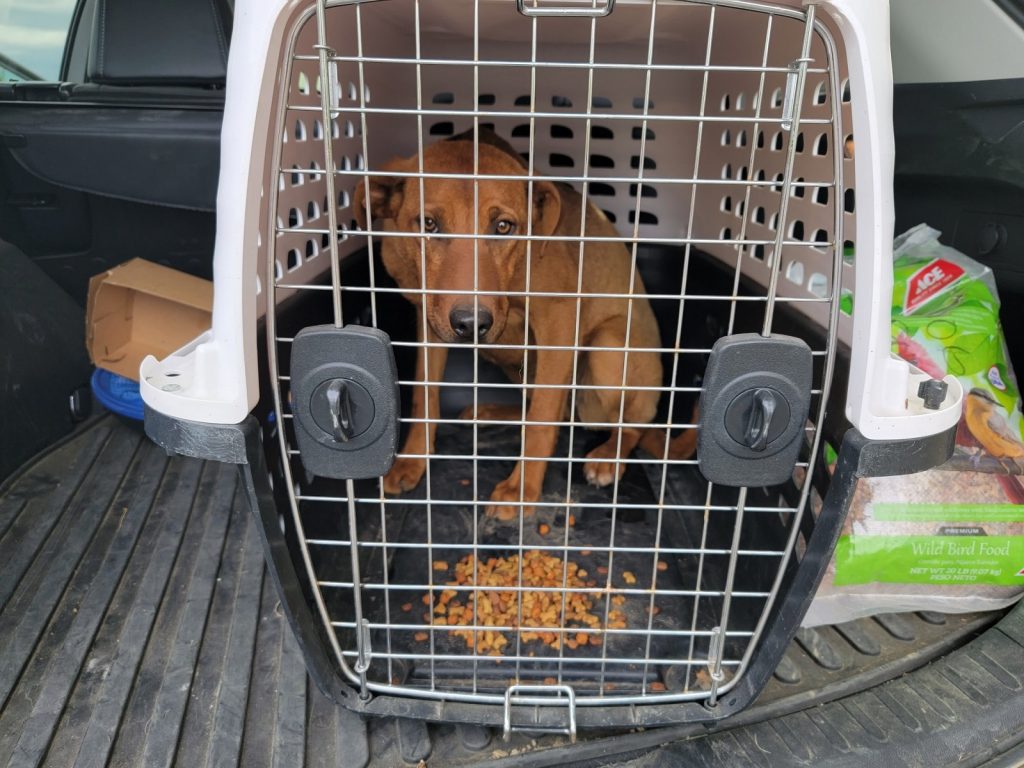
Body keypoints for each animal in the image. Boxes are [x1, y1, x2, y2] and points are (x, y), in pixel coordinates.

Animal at [352, 129, 696, 520]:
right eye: (428, 224)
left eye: (503, 226)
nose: (471, 324)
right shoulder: (431, 321)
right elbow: (426, 397)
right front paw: (412, 460)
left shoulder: (559, 318)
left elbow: (542, 418)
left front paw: (520, 490)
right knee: (553, 409)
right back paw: (489, 411)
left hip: (607, 347)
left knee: (623, 423)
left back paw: (610, 456)